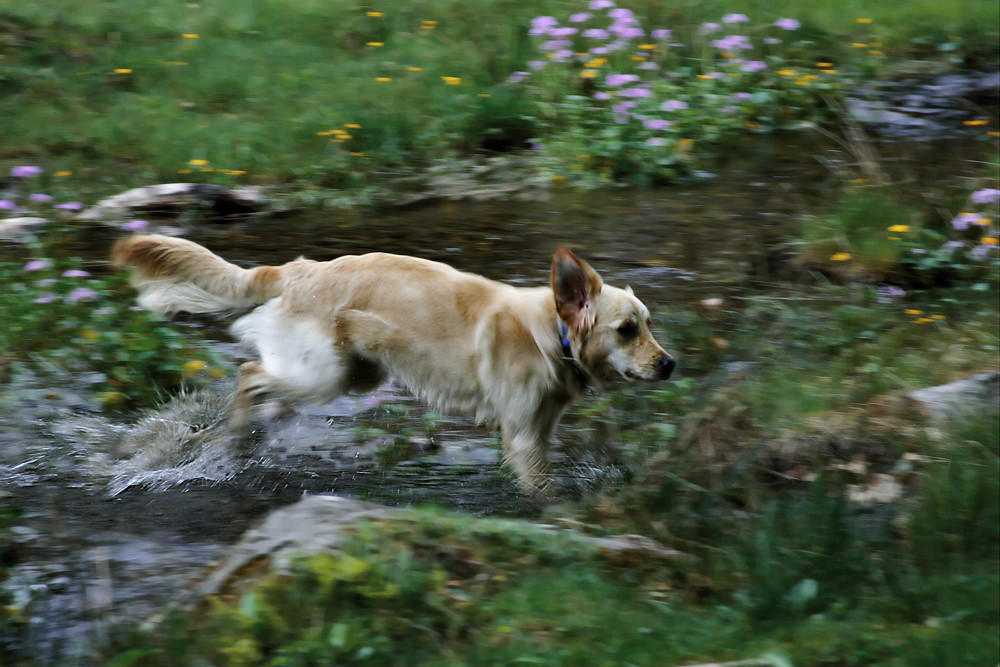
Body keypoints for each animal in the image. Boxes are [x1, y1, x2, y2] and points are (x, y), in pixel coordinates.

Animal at [109, 236, 676, 496]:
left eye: (649, 324)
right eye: (626, 330)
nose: (670, 364)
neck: (549, 335)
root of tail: (299, 269)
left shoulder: (541, 428)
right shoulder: (521, 435)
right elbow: (543, 486)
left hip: (357, 374)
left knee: (261, 388)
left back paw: (242, 439)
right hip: (323, 375)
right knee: (249, 376)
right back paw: (237, 436)